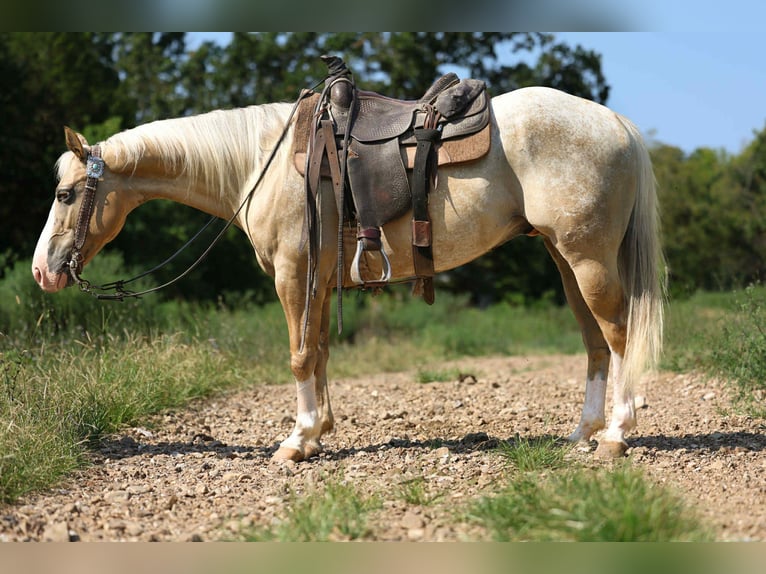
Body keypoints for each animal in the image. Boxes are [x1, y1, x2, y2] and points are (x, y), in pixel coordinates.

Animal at [32, 85, 664, 461]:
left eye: (64, 195)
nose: (42, 272)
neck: (260, 162)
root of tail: (616, 122)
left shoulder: (293, 274)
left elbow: (299, 355)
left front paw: (296, 440)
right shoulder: (316, 281)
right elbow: (319, 350)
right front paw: (319, 432)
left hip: (587, 258)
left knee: (618, 335)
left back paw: (615, 436)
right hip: (565, 259)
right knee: (595, 344)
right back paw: (581, 434)